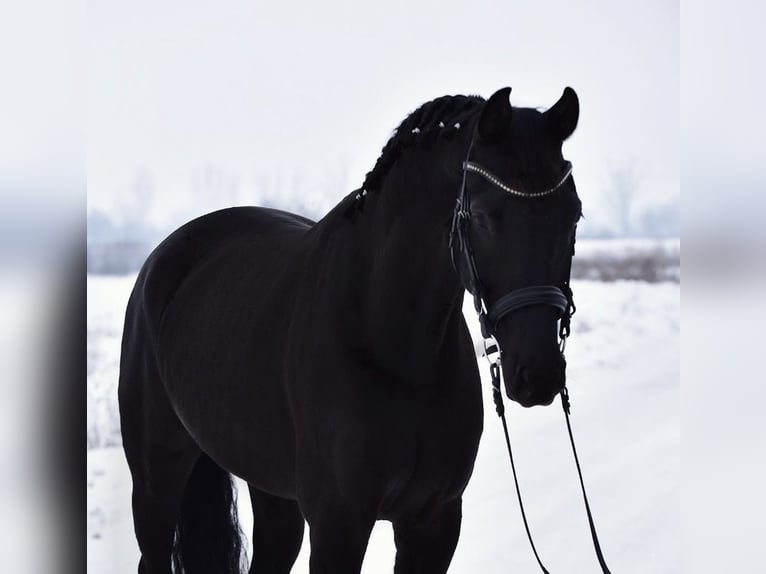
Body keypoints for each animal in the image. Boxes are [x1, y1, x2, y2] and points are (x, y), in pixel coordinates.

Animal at [118, 86, 582, 574]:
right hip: (156, 481)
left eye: (573, 216)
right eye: (483, 215)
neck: (393, 345)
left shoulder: (434, 520)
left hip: (271, 490)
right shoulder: (339, 523)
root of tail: (166, 255)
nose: (538, 374)